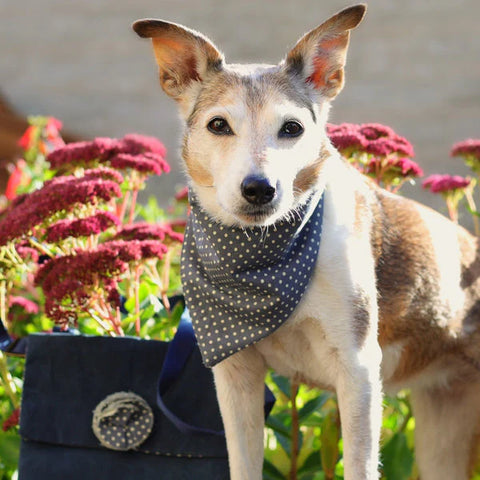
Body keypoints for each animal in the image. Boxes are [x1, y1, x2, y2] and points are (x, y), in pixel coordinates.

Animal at [133, 4, 480, 480]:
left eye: (292, 128)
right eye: (218, 125)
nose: (259, 189)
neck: (262, 258)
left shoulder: (358, 370)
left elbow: (360, 465)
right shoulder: (236, 373)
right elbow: (243, 463)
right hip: (441, 433)